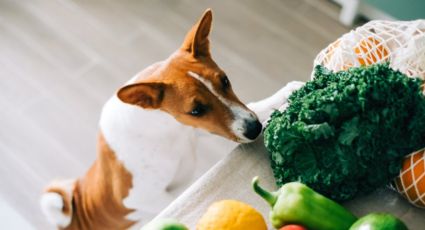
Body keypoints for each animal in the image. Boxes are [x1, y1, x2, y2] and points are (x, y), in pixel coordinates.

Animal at [40, 8, 304, 229]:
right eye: (196, 110)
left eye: (225, 80)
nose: (254, 129)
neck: (165, 129)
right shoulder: (141, 197)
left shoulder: (195, 130)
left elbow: (255, 106)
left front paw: (287, 93)